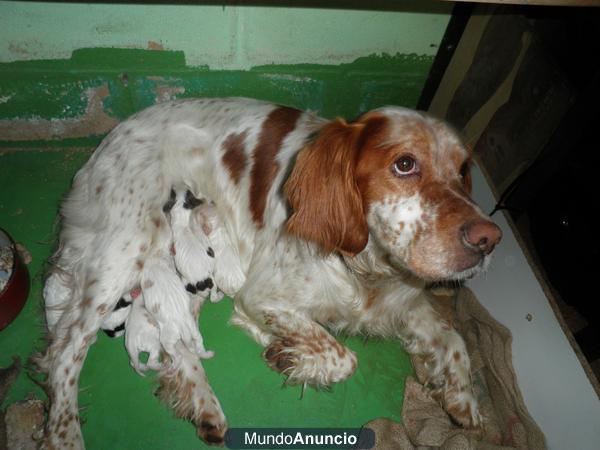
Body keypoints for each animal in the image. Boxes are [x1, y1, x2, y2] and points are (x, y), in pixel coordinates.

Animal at [37, 97, 502, 446]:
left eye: (464, 169)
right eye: (405, 164)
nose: (490, 238)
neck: (364, 264)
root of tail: (109, 140)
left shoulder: (403, 300)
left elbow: (453, 338)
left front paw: (464, 400)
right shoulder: (263, 295)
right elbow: (342, 356)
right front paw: (288, 353)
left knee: (178, 344)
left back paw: (204, 406)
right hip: (124, 250)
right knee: (65, 354)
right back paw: (65, 435)